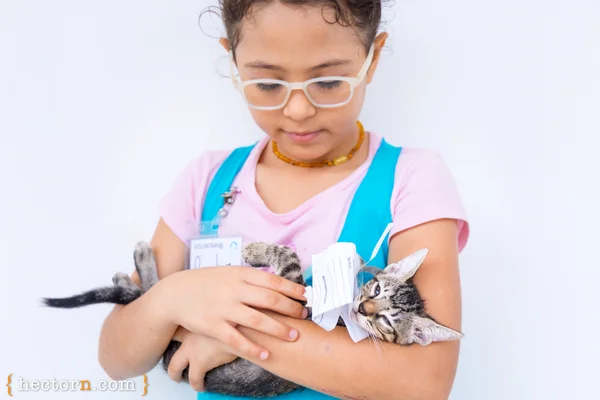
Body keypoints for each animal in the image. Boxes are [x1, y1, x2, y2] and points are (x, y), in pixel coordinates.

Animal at [42, 241, 464, 396]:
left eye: (388, 323)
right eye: (375, 291)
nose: (362, 309)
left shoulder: (292, 303)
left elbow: (289, 258)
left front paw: (256, 249)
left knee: (152, 297)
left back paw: (136, 269)